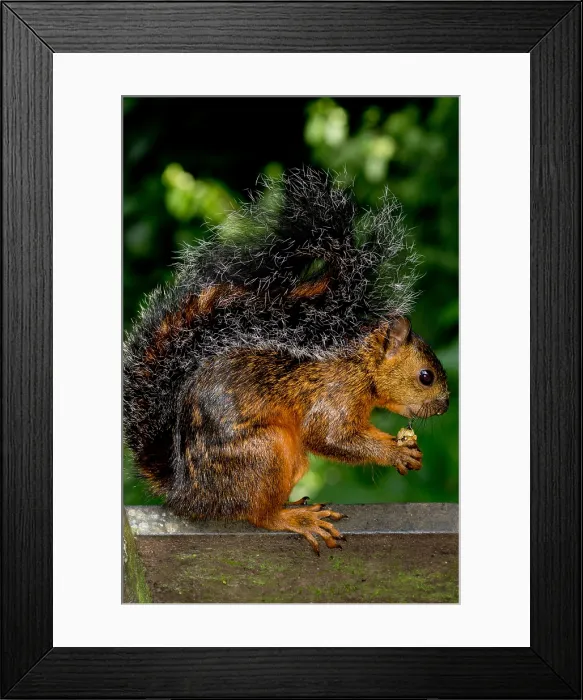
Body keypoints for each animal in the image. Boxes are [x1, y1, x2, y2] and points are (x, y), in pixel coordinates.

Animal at [123, 167, 449, 554]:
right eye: (426, 376)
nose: (445, 406)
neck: (362, 364)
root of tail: (187, 495)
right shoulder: (337, 393)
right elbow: (328, 436)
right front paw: (395, 453)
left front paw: (401, 445)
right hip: (264, 453)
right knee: (259, 515)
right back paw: (295, 518)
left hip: (290, 460)